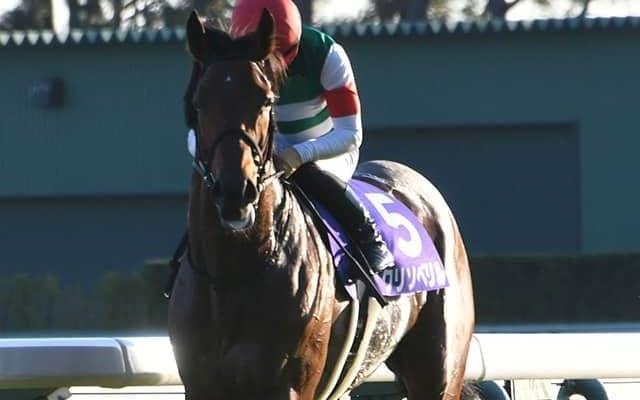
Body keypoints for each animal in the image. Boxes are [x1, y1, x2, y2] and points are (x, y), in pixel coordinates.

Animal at [167, 9, 475, 400]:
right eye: (199, 103)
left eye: (266, 100)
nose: (235, 192)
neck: (233, 274)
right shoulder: (201, 383)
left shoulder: (291, 384)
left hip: (439, 371)